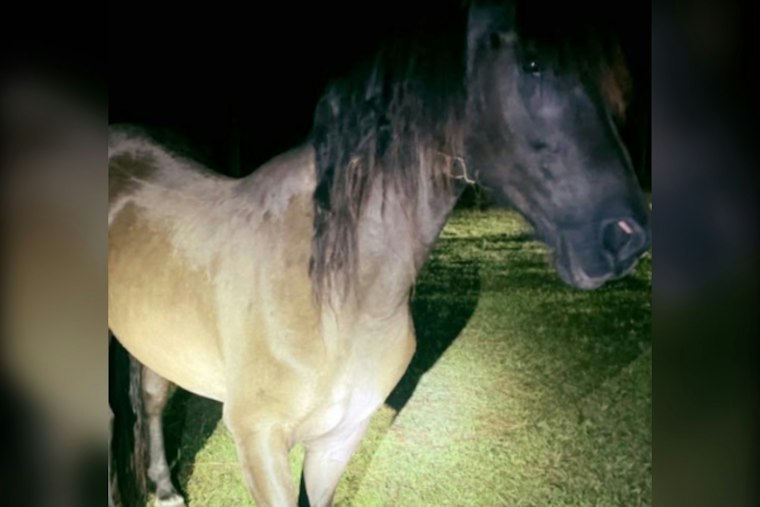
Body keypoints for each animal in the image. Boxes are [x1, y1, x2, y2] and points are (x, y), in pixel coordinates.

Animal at [108, 1, 650, 505]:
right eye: (533, 64)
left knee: (151, 401)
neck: (333, 299)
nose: (626, 237)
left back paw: (164, 488)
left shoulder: (340, 438)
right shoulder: (259, 441)